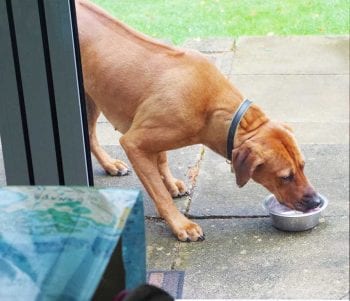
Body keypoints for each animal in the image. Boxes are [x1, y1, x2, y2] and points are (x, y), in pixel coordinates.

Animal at [76, 0, 320, 240]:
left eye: (303, 166)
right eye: (285, 176)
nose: (317, 201)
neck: (212, 107)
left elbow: (161, 159)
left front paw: (170, 183)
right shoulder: (134, 143)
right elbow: (159, 193)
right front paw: (181, 224)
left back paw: (109, 165)